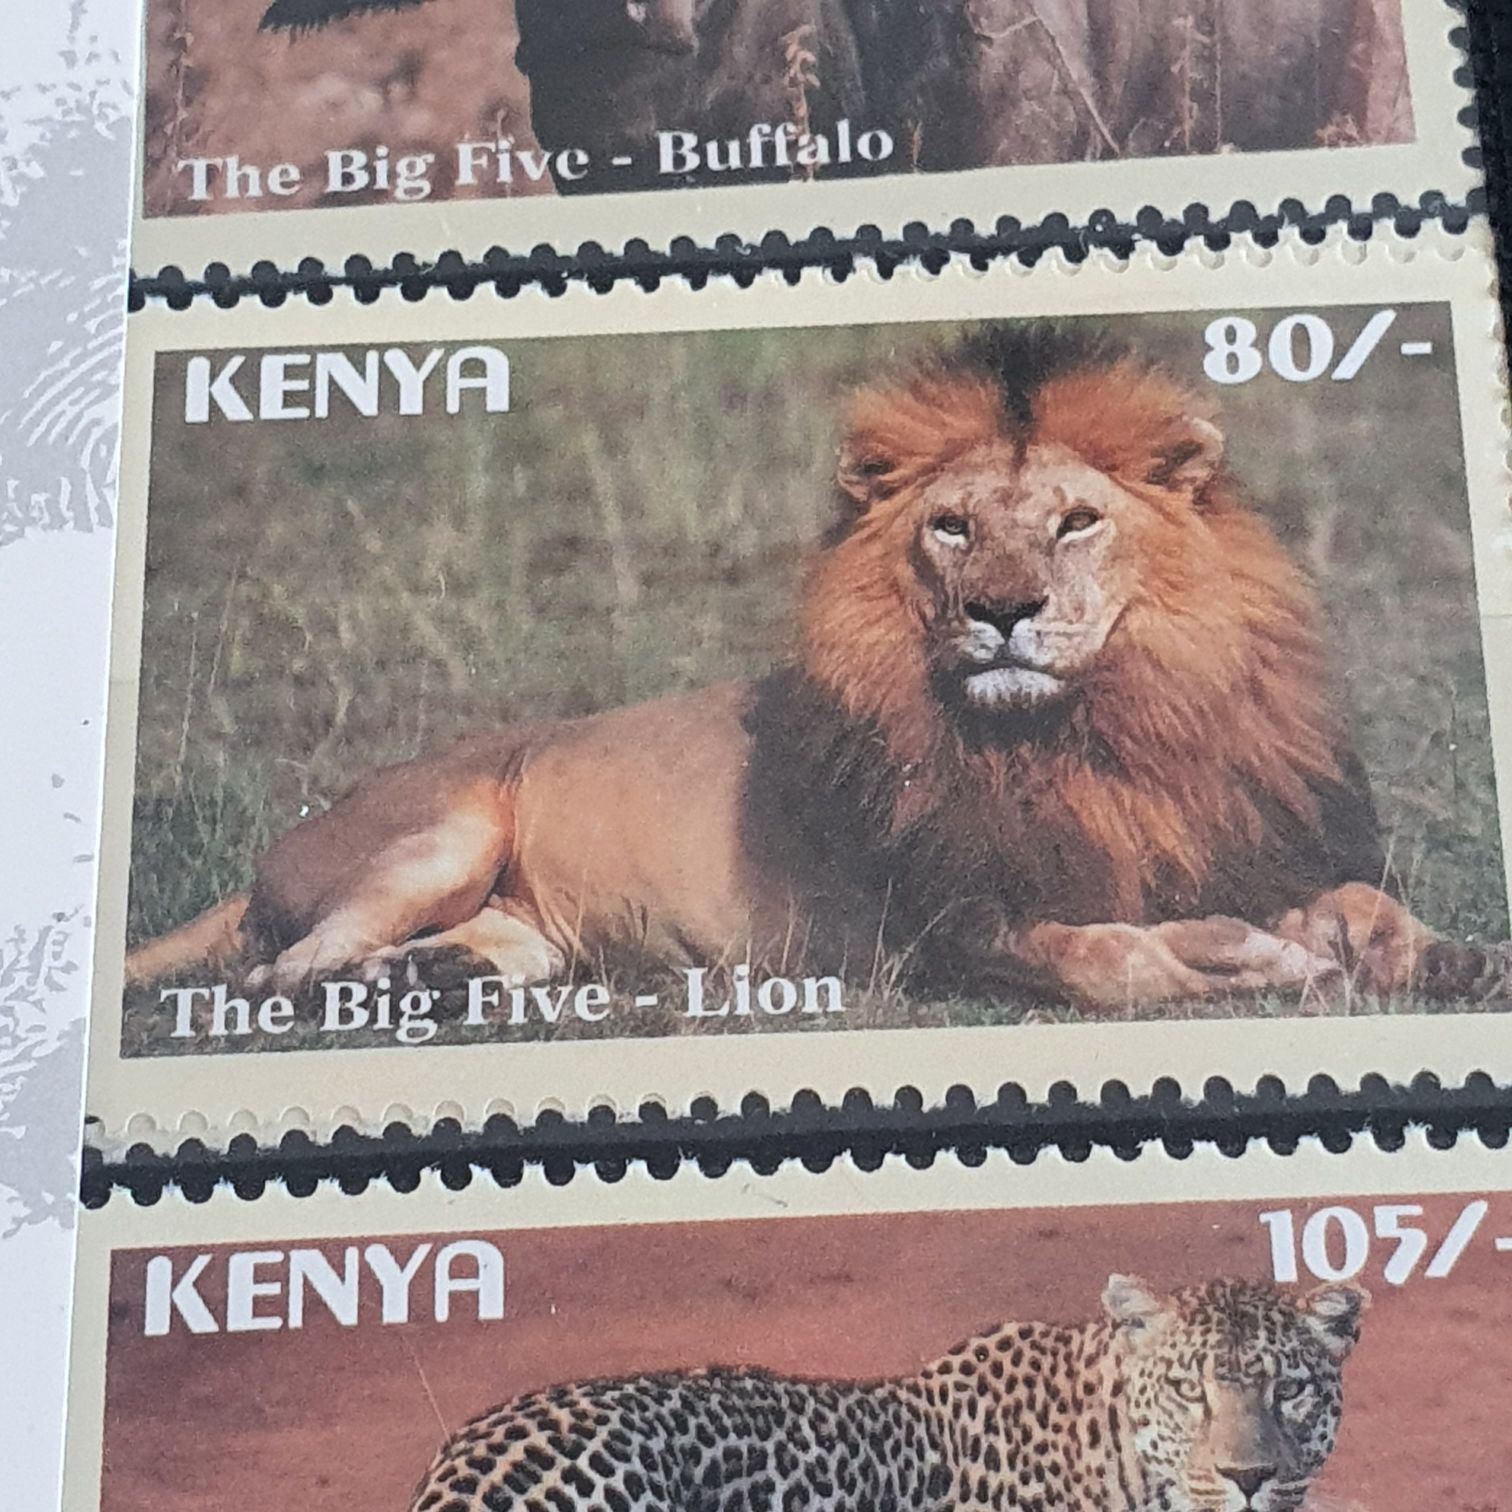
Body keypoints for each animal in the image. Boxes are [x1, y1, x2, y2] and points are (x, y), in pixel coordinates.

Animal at [126, 323, 1463, 1011]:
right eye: (952, 528)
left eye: (1078, 522)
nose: (1003, 612)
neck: (1090, 734)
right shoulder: (946, 932)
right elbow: (1118, 958)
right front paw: (1255, 960)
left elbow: (1365, 910)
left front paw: (1431, 955)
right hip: (443, 833)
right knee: (280, 970)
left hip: (526, 924)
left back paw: (441, 978)